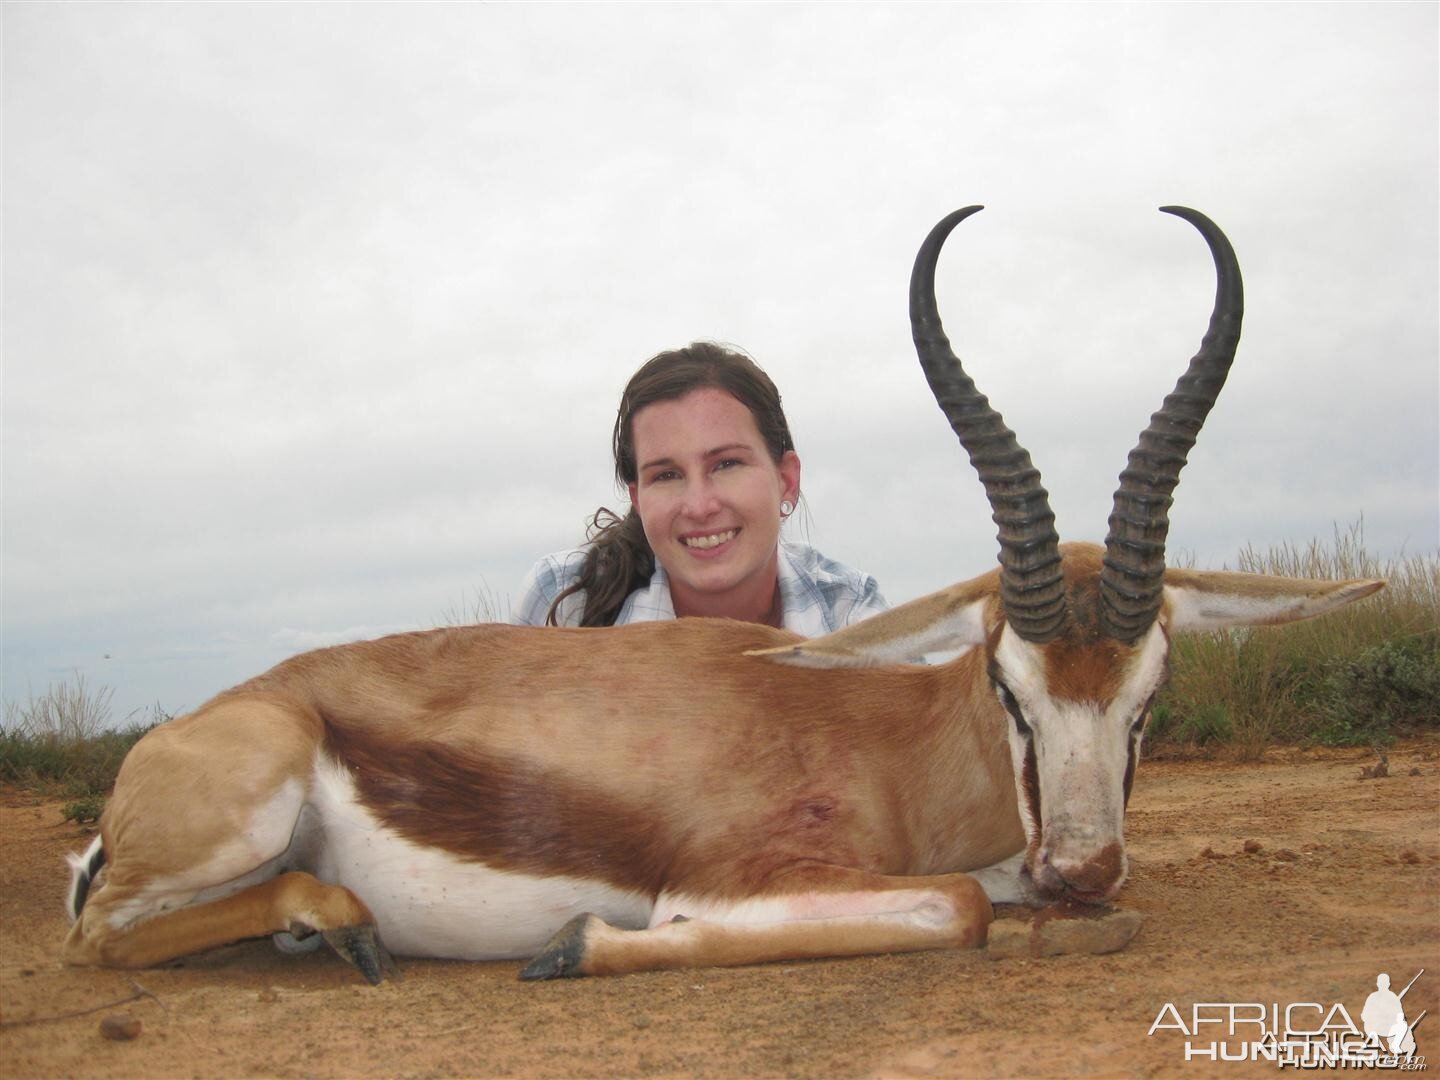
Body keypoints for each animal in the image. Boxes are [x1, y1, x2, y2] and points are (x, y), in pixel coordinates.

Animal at [64, 207, 1382, 984]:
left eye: (1152, 690)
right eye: (1007, 684)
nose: (1083, 871)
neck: (887, 746)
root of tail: (212, 719)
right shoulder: (729, 876)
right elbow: (961, 904)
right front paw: (579, 941)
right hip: (244, 816)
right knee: (94, 933)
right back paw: (334, 924)